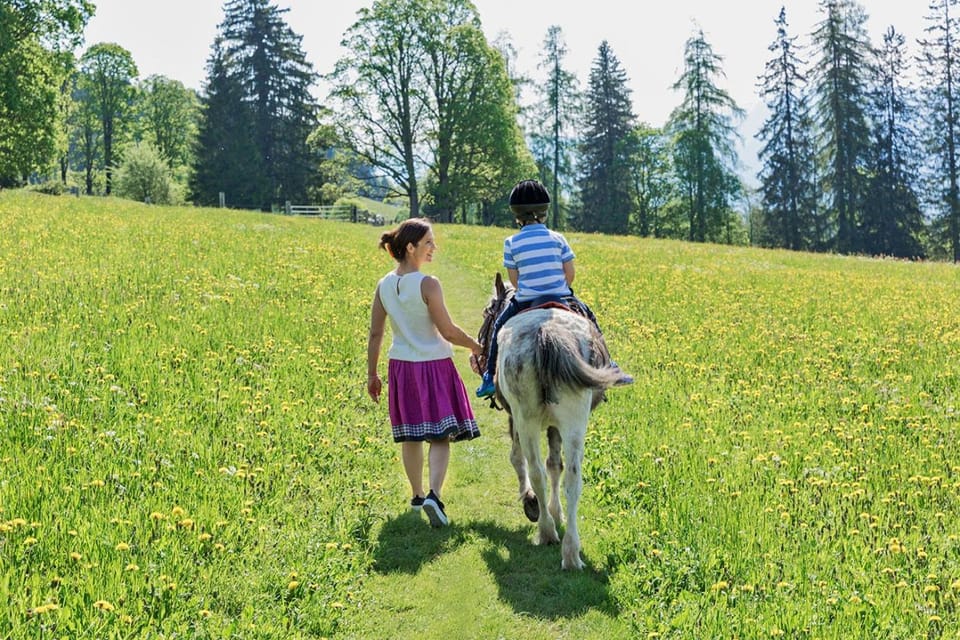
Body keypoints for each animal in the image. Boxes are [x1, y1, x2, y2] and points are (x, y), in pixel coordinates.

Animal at [475, 272, 621, 570]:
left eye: (487, 312)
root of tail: (548, 333)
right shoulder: (556, 426)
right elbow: (556, 465)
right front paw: (556, 511)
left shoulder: (514, 418)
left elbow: (518, 459)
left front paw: (531, 502)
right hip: (574, 421)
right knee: (573, 479)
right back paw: (571, 553)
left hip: (527, 420)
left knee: (536, 472)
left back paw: (546, 532)